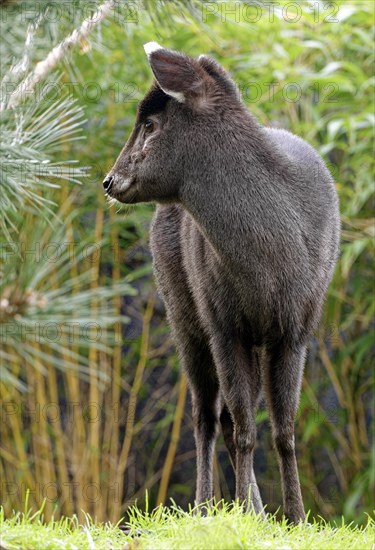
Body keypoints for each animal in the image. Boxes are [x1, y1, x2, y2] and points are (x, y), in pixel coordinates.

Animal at [103, 44, 340, 528]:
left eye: (150, 124)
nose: (110, 181)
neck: (269, 263)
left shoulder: (296, 329)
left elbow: (285, 430)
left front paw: (296, 518)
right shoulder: (224, 323)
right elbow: (245, 428)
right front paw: (240, 513)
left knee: (229, 419)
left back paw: (254, 511)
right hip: (183, 314)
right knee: (207, 416)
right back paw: (206, 507)